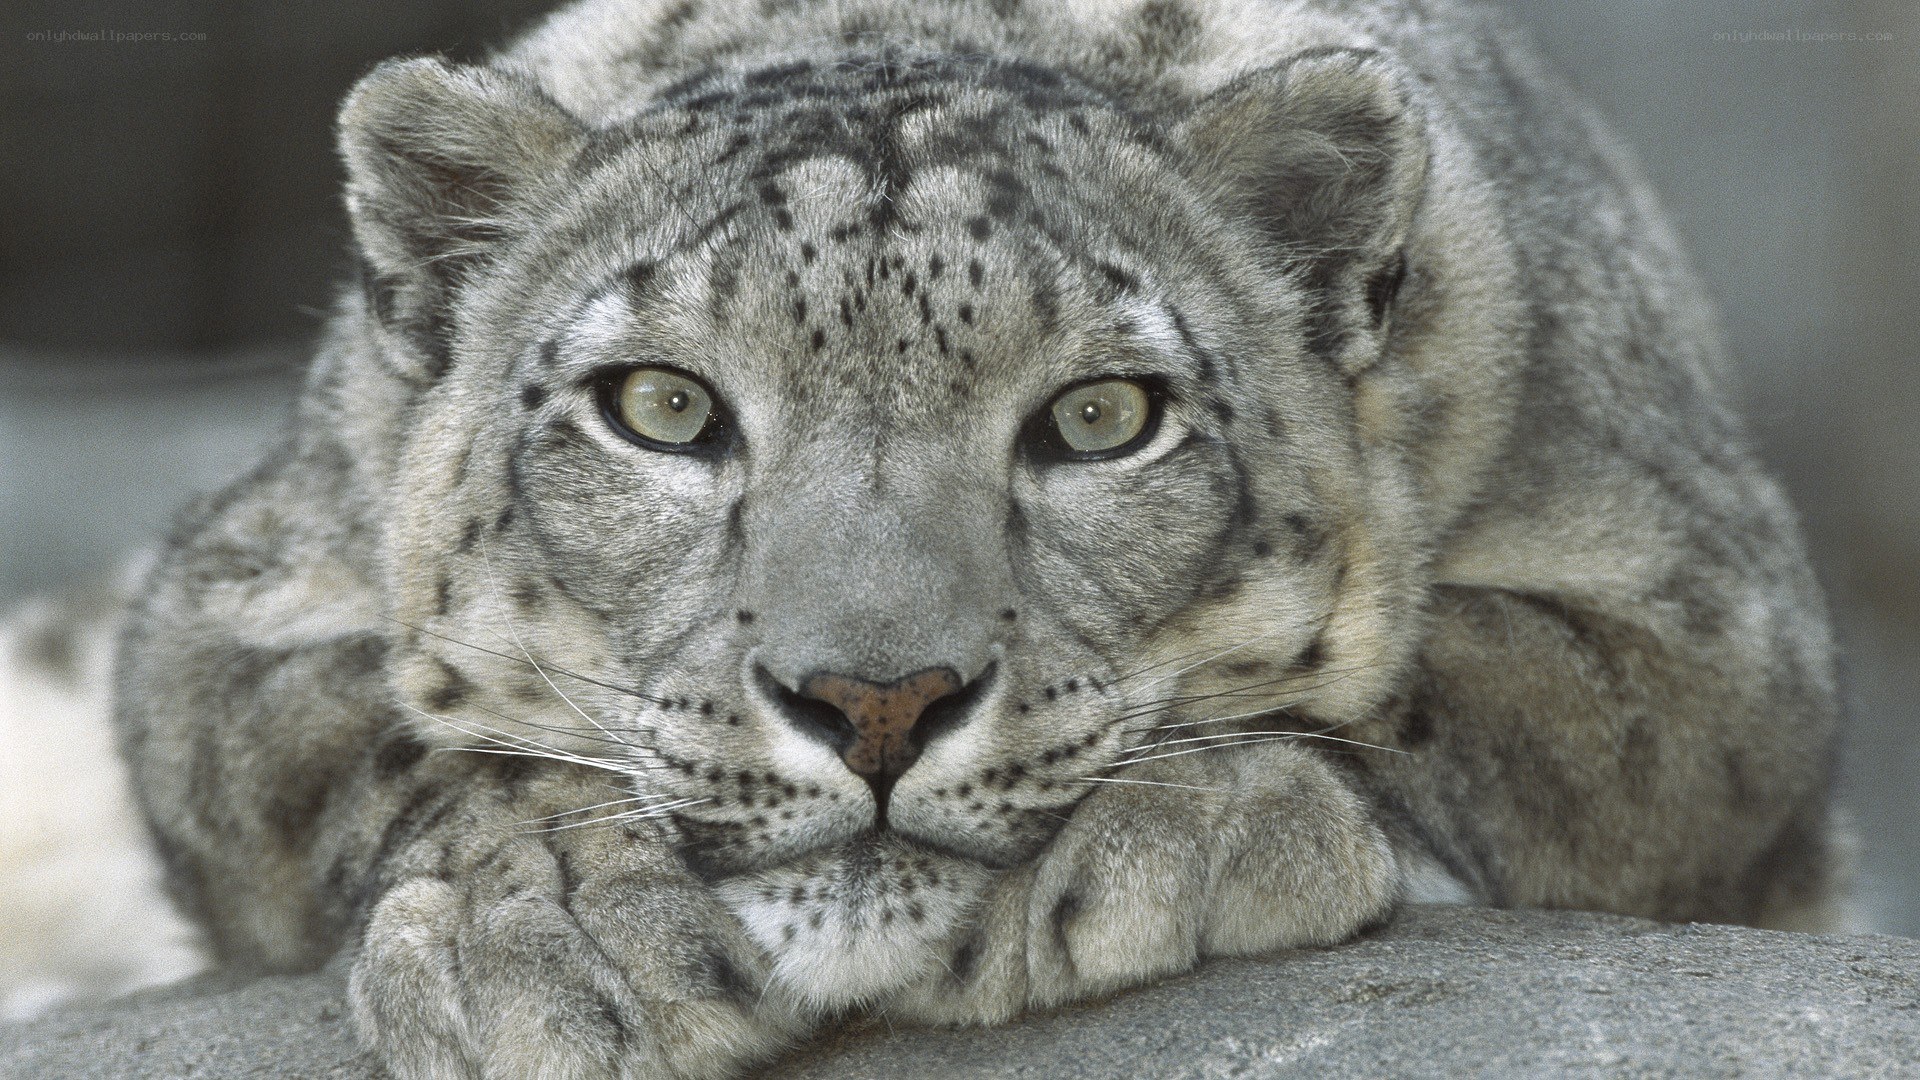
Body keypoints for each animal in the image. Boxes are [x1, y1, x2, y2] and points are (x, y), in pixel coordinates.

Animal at [111, 0, 1845, 1076]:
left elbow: (1443, 685)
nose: (875, 701)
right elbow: (379, 732)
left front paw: (1181, 834)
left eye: (1101, 416)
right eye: (662, 407)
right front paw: (546, 925)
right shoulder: (229, 604)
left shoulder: (1702, 632)